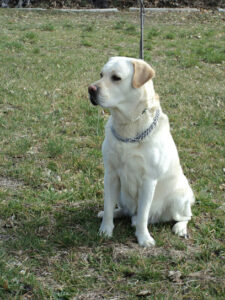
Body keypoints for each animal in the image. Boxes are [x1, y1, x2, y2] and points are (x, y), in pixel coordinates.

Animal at [89, 56, 194, 246]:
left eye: (116, 78)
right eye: (101, 74)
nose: (90, 89)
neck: (127, 127)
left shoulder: (148, 180)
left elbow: (143, 214)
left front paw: (143, 238)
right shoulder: (111, 174)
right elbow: (108, 205)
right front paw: (105, 229)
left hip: (179, 198)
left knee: (185, 216)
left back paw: (180, 228)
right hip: (121, 193)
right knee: (122, 209)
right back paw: (115, 213)